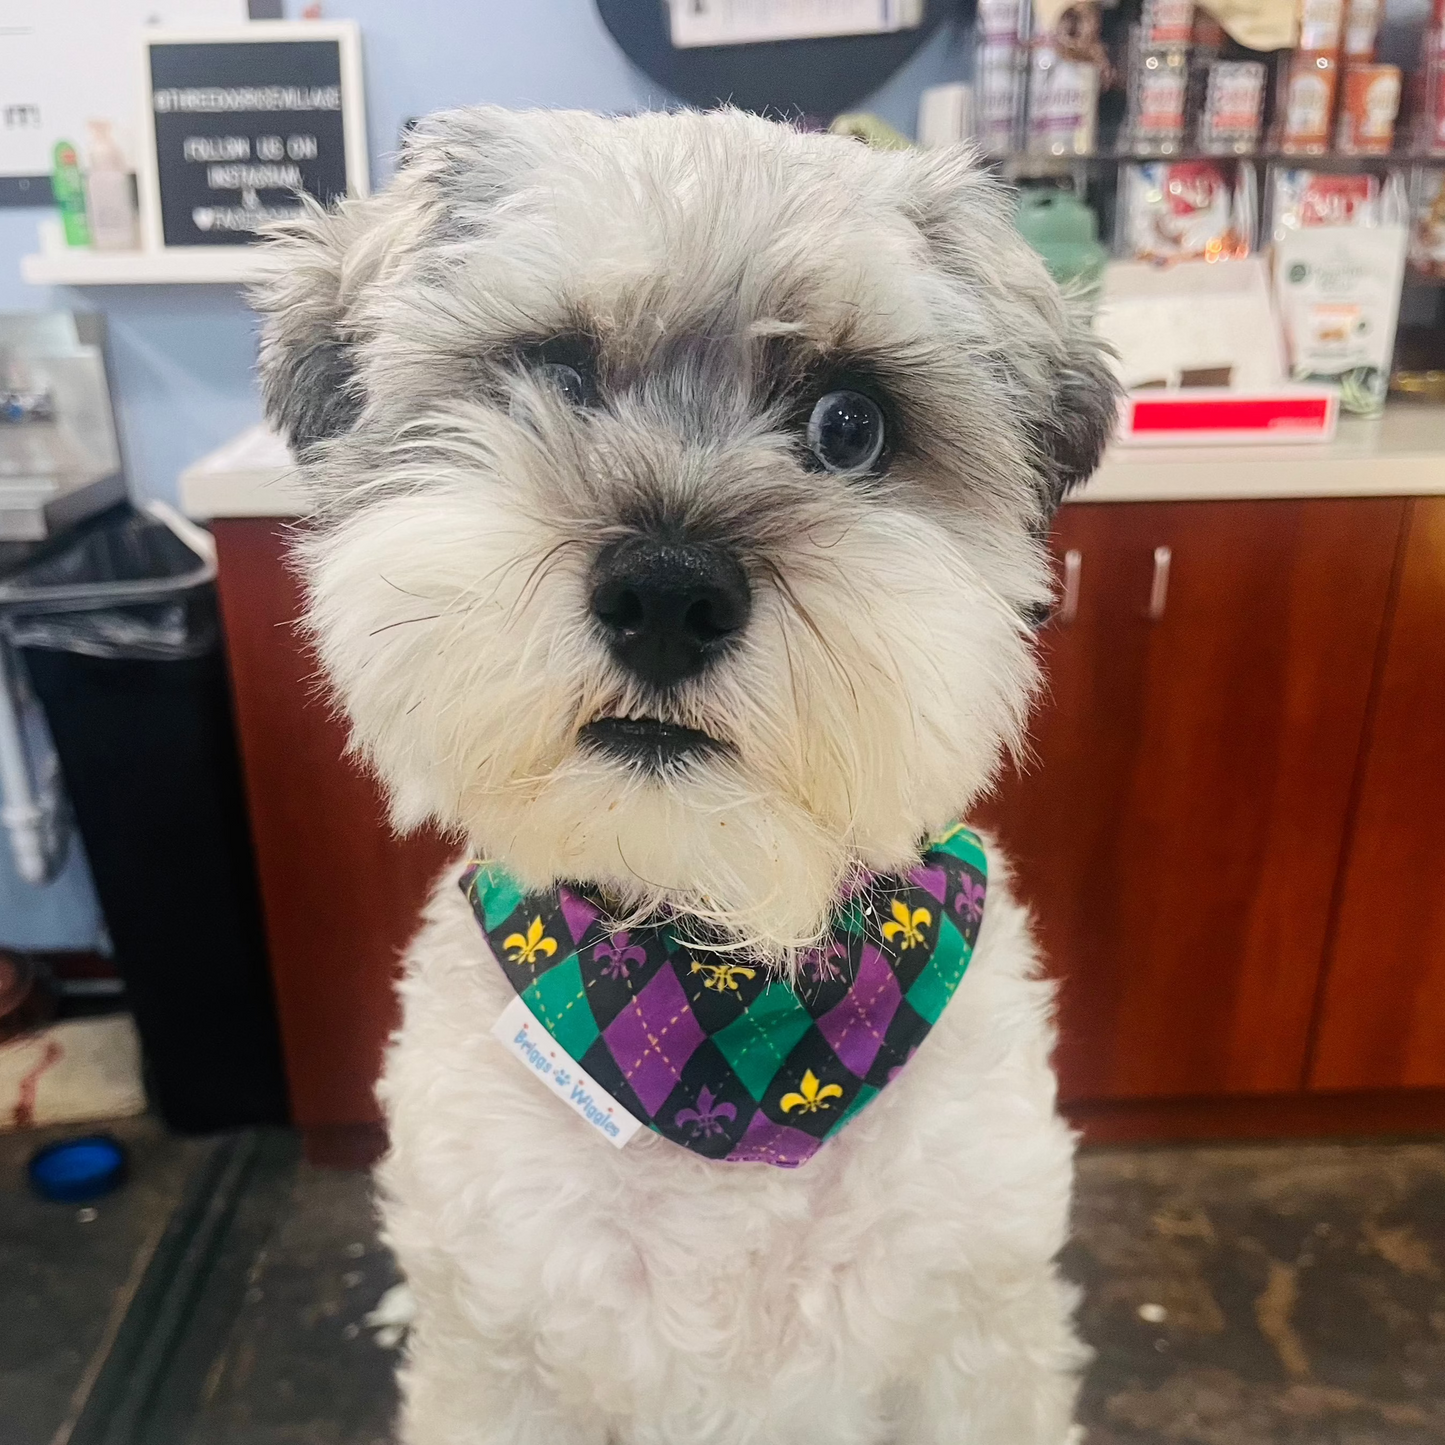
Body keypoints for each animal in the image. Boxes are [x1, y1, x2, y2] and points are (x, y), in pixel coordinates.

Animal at [257, 104, 1115, 1445]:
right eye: (554, 375)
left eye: (848, 425)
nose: (666, 594)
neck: (710, 973)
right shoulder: (497, 1361)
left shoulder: (976, 1353)